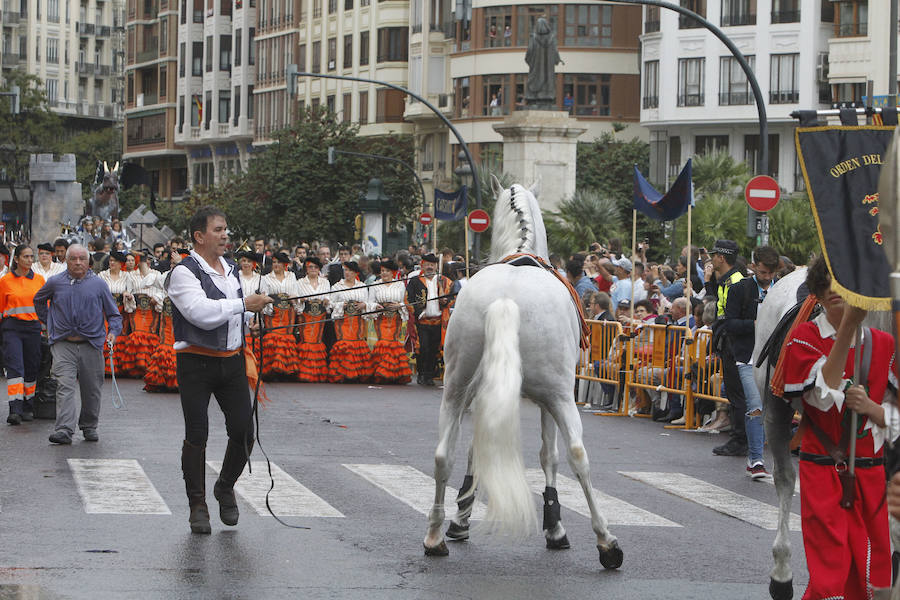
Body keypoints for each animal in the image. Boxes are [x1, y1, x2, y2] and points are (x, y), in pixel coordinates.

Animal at [424, 176, 624, 568]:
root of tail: (507, 299)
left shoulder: (481, 394)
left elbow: (475, 450)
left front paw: (461, 518)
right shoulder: (548, 401)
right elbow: (550, 456)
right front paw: (555, 527)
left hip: (455, 389)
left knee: (443, 455)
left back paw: (435, 536)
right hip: (560, 396)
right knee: (578, 455)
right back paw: (606, 542)